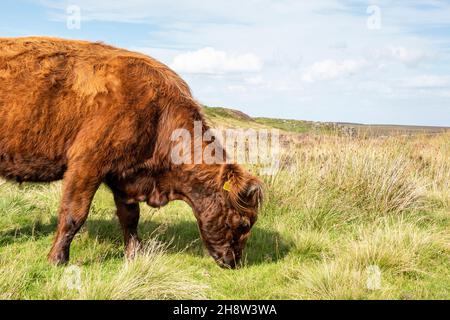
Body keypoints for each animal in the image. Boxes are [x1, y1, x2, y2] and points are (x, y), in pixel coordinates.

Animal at [0, 37, 264, 268]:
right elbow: (73, 214)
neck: (158, 113)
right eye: (243, 223)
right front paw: (57, 260)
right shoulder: (86, 166)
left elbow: (130, 217)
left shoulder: (124, 176)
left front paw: (134, 255)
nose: (234, 262)